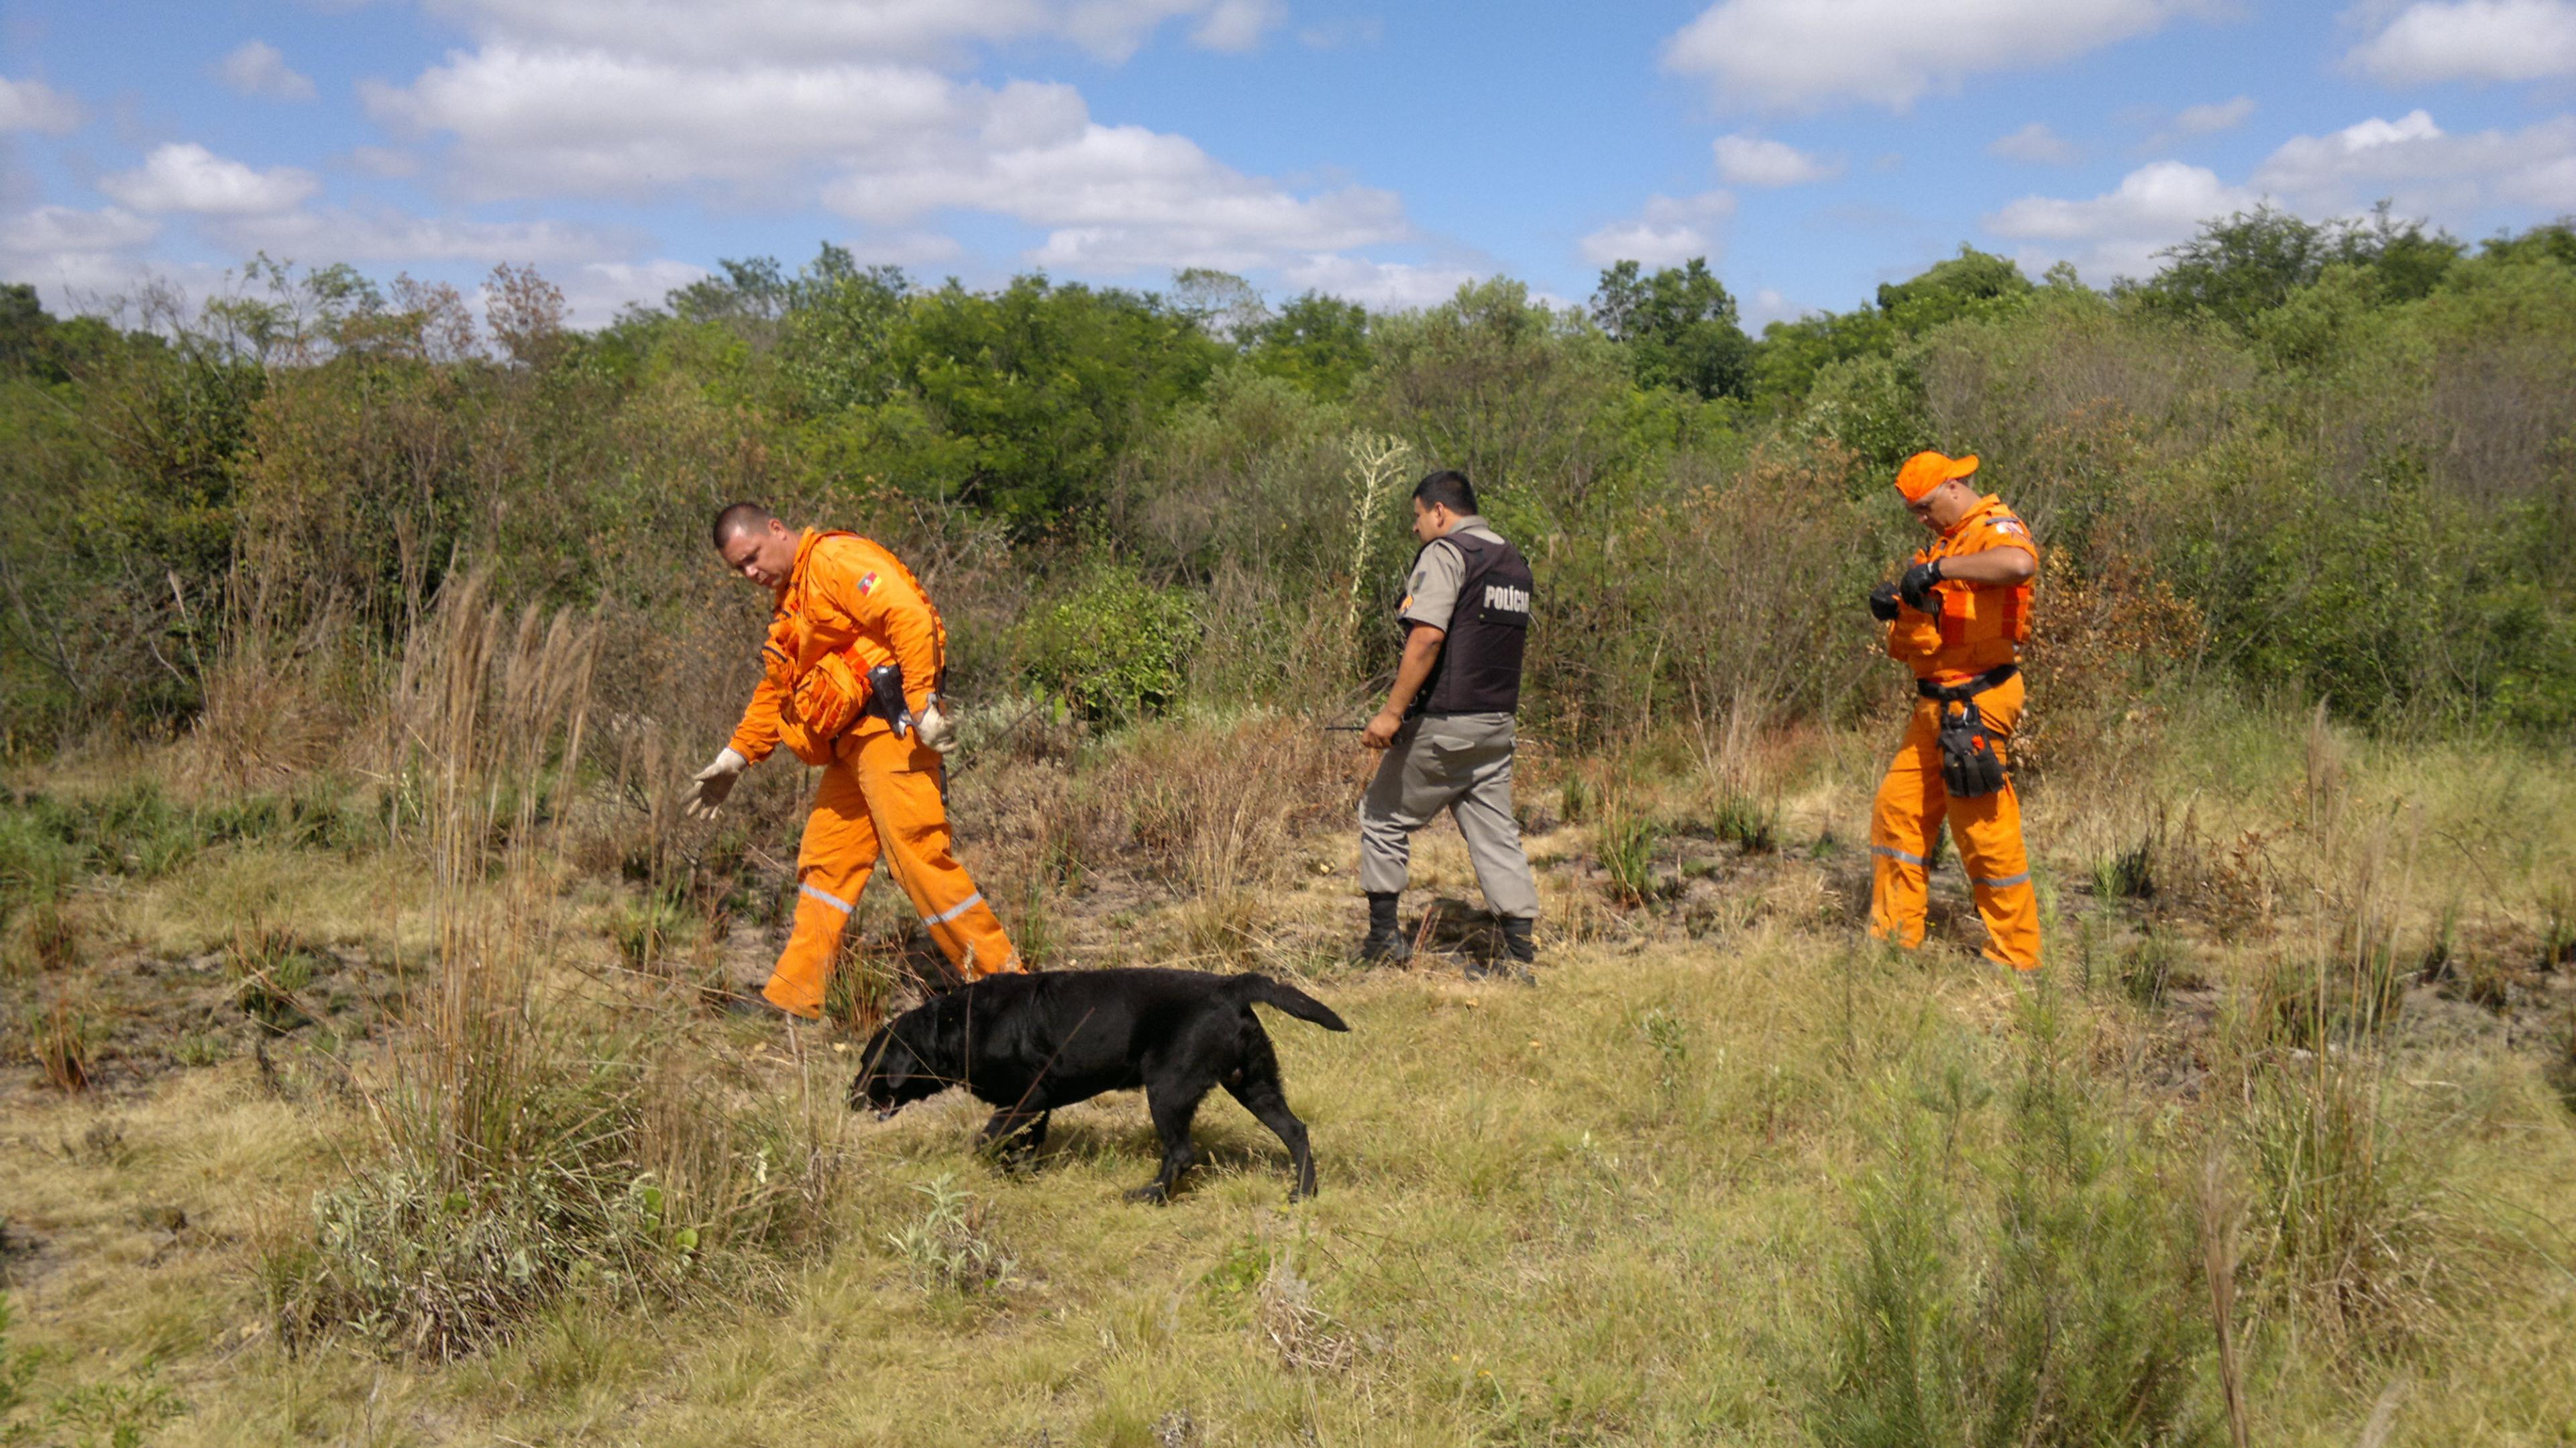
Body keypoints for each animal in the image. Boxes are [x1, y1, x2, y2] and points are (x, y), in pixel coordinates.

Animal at [860, 968, 1360, 1195]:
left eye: (868, 1063)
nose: (851, 1096)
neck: (958, 1026)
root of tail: (1230, 985)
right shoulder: (1036, 1106)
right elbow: (1024, 1145)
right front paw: (1021, 1175)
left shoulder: (1025, 1098)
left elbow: (985, 1140)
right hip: (1253, 1083)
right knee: (1296, 1131)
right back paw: (1302, 1193)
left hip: (1168, 1089)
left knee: (1181, 1152)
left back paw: (1149, 1196)